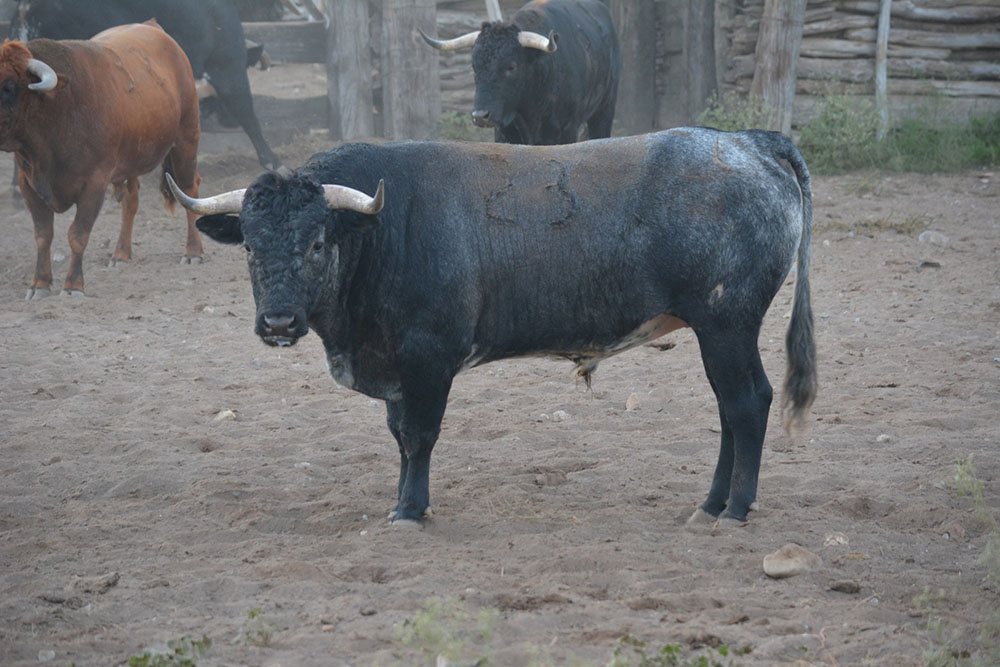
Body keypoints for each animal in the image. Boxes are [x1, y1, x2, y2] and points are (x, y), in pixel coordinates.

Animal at [0, 21, 203, 298]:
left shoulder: (94, 184)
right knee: (131, 200)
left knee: (188, 189)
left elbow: (78, 234)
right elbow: (43, 235)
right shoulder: (28, 183)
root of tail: (152, 26)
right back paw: (120, 254)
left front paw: (73, 285)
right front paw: (39, 284)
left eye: (9, 87)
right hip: (131, 160)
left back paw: (193, 251)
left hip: (186, 139)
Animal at [169, 127, 817, 526]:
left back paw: (733, 509)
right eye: (250, 246)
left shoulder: (429, 358)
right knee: (732, 409)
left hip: (727, 324)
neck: (384, 230)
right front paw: (404, 502)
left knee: (746, 403)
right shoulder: (399, 367)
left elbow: (419, 436)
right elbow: (399, 435)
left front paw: (410, 511)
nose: (278, 322)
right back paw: (710, 504)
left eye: (318, 242)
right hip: (719, 332)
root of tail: (750, 142)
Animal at [420, 0, 621, 145]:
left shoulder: (566, 130)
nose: (480, 116)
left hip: (605, 110)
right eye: (474, 66)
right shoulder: (503, 132)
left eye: (511, 67)